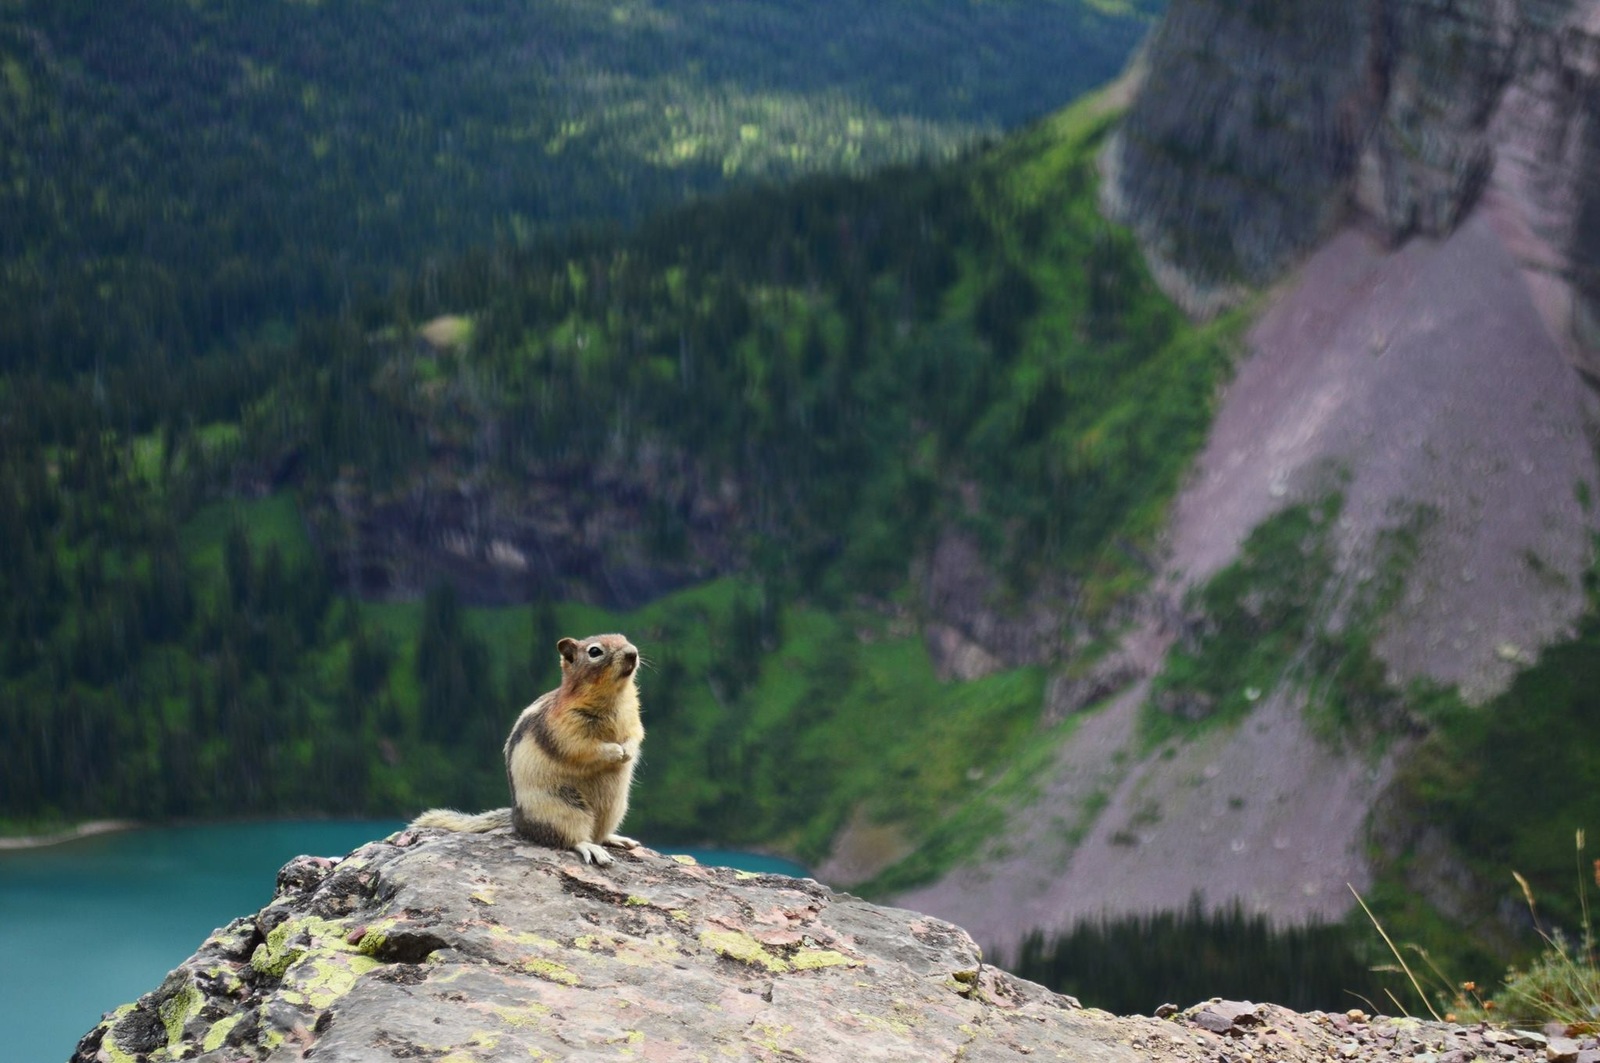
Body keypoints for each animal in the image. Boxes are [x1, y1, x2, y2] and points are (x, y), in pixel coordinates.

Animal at [409, 630, 646, 864]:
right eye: (595, 651)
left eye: (623, 638)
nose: (632, 652)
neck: (614, 697)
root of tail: (517, 820)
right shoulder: (564, 729)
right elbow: (583, 748)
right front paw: (615, 751)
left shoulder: (632, 717)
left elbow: (636, 735)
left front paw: (628, 751)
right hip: (562, 809)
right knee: (573, 838)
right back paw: (592, 849)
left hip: (615, 808)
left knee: (600, 833)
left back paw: (618, 839)